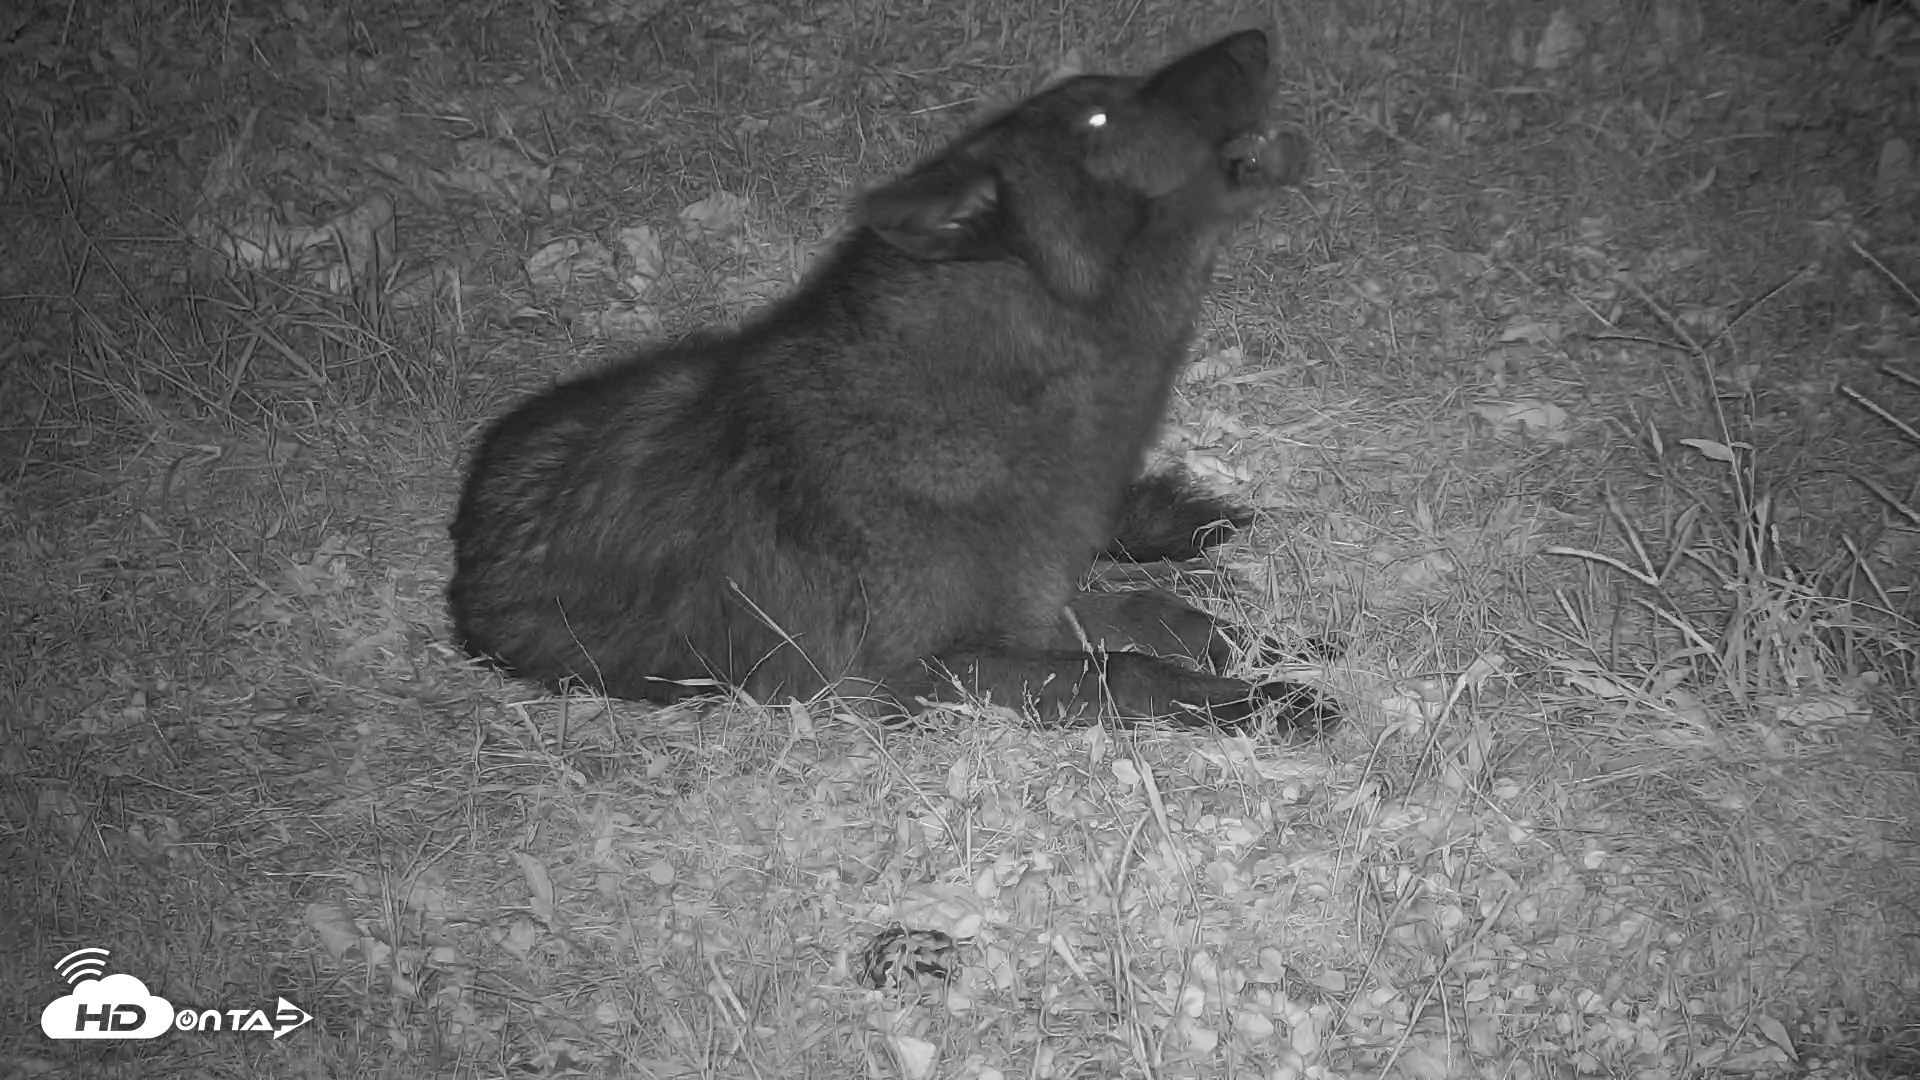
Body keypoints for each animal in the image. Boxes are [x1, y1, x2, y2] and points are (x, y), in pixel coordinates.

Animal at [448, 29, 1336, 735]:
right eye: (1097, 120)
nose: (1255, 38)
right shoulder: (922, 670)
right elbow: (1127, 666)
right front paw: (1260, 700)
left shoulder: (1033, 606)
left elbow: (1166, 613)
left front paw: (1288, 647)